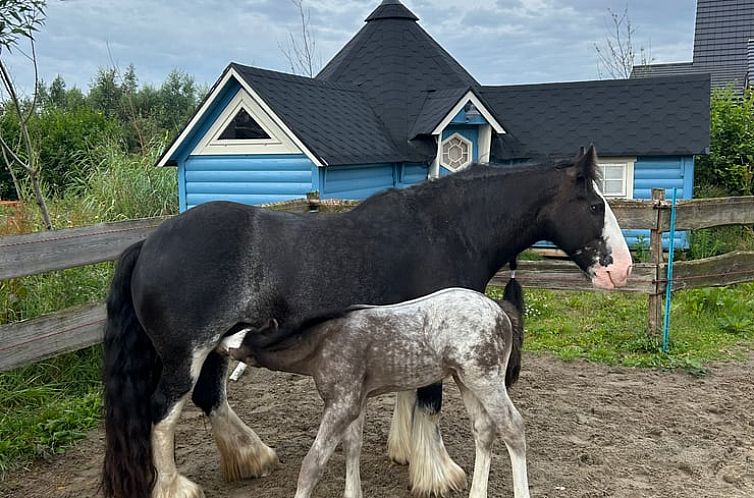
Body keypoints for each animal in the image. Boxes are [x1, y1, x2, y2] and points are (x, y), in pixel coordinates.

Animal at [100, 144, 628, 498]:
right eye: (595, 205)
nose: (620, 269)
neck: (447, 228)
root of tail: (148, 242)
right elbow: (429, 403)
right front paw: (436, 473)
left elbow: (407, 397)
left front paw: (405, 451)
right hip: (185, 355)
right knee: (164, 412)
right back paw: (177, 486)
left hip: (217, 347)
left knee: (210, 398)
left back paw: (252, 458)